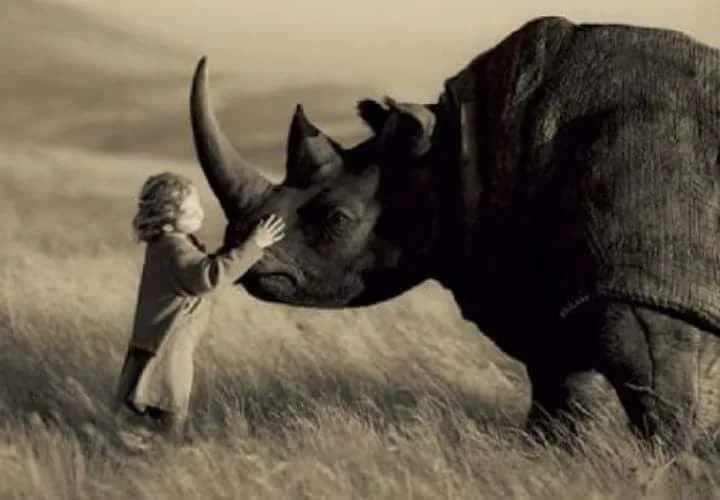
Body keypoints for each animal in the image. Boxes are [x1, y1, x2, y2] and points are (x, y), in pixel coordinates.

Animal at [188, 16, 720, 449]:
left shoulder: (644, 291)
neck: (461, 156)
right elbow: (561, 406)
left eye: (335, 218)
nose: (245, 262)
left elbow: (665, 416)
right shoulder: (544, 292)